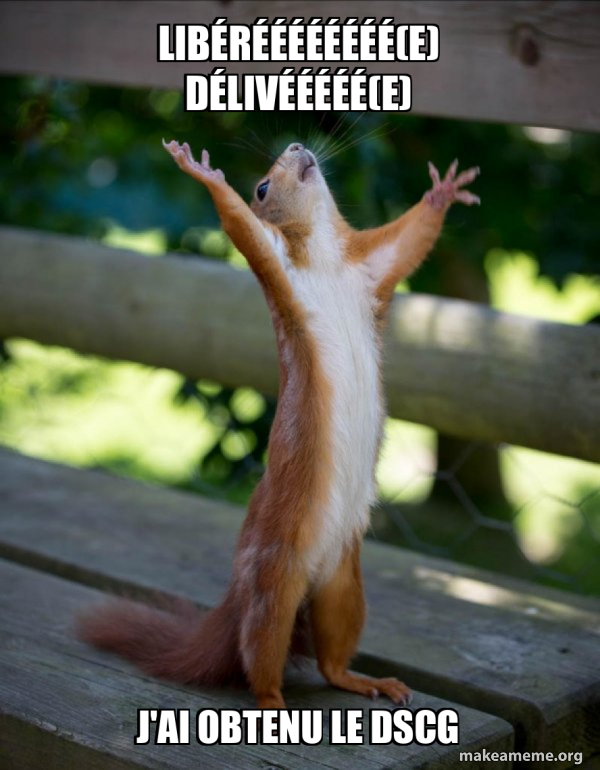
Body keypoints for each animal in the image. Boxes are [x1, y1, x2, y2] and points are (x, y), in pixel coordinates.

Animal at [78, 138, 479, 710]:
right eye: (262, 187)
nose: (296, 146)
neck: (327, 258)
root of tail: (238, 596)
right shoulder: (277, 264)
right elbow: (240, 225)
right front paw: (204, 173)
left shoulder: (372, 267)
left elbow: (410, 240)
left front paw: (442, 192)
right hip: (274, 583)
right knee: (259, 656)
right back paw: (274, 702)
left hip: (344, 586)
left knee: (332, 658)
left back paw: (365, 680)